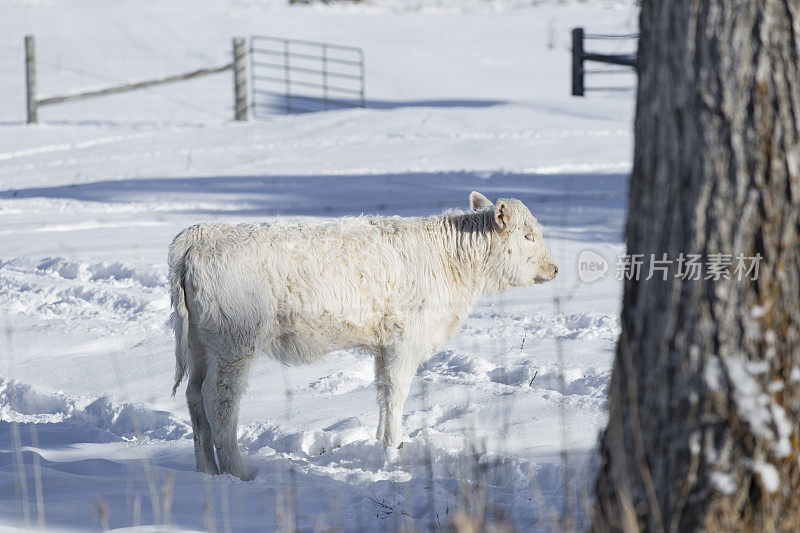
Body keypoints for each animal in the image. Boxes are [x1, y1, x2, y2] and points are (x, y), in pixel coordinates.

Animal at [169, 190, 556, 478]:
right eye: (527, 235)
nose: (554, 268)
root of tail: (201, 234)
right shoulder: (404, 342)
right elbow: (397, 394)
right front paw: (395, 450)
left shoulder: (384, 347)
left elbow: (383, 394)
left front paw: (382, 446)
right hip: (235, 344)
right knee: (220, 402)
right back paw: (239, 473)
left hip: (202, 346)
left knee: (194, 396)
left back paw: (207, 470)